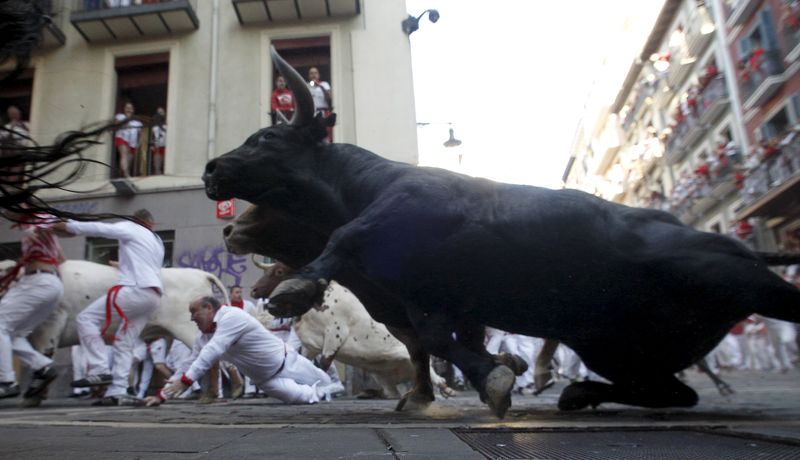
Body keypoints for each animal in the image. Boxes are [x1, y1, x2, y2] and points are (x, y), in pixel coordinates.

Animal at [203, 46, 796, 416]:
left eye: (264, 138)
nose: (212, 169)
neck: (362, 184)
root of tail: (744, 251)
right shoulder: (426, 302)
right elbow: (435, 343)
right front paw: (493, 377)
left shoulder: (406, 223)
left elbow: (346, 238)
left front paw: (294, 288)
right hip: (612, 345)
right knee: (672, 392)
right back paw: (578, 394)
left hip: (746, 285)